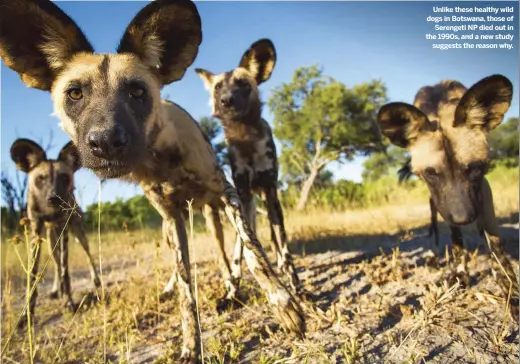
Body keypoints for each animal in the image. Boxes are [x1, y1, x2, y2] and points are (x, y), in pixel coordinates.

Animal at [10, 139, 101, 328]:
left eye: (64, 177)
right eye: (41, 178)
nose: (53, 198)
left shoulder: (63, 227)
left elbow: (66, 271)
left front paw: (68, 302)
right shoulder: (36, 230)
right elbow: (33, 274)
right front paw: (27, 314)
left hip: (77, 234)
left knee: (87, 256)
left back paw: (95, 280)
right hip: (51, 240)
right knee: (57, 263)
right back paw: (54, 290)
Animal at [195, 38, 302, 296]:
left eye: (243, 84)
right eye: (217, 88)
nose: (226, 100)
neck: (246, 137)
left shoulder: (270, 192)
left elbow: (283, 245)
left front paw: (295, 285)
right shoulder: (241, 196)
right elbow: (240, 248)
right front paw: (233, 289)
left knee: (273, 238)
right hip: (234, 209)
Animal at [378, 75, 520, 320]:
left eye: (474, 168)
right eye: (432, 173)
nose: (464, 218)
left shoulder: (482, 189)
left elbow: (495, 243)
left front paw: (512, 291)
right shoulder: (445, 203)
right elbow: (456, 240)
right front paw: (461, 273)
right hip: (436, 202)